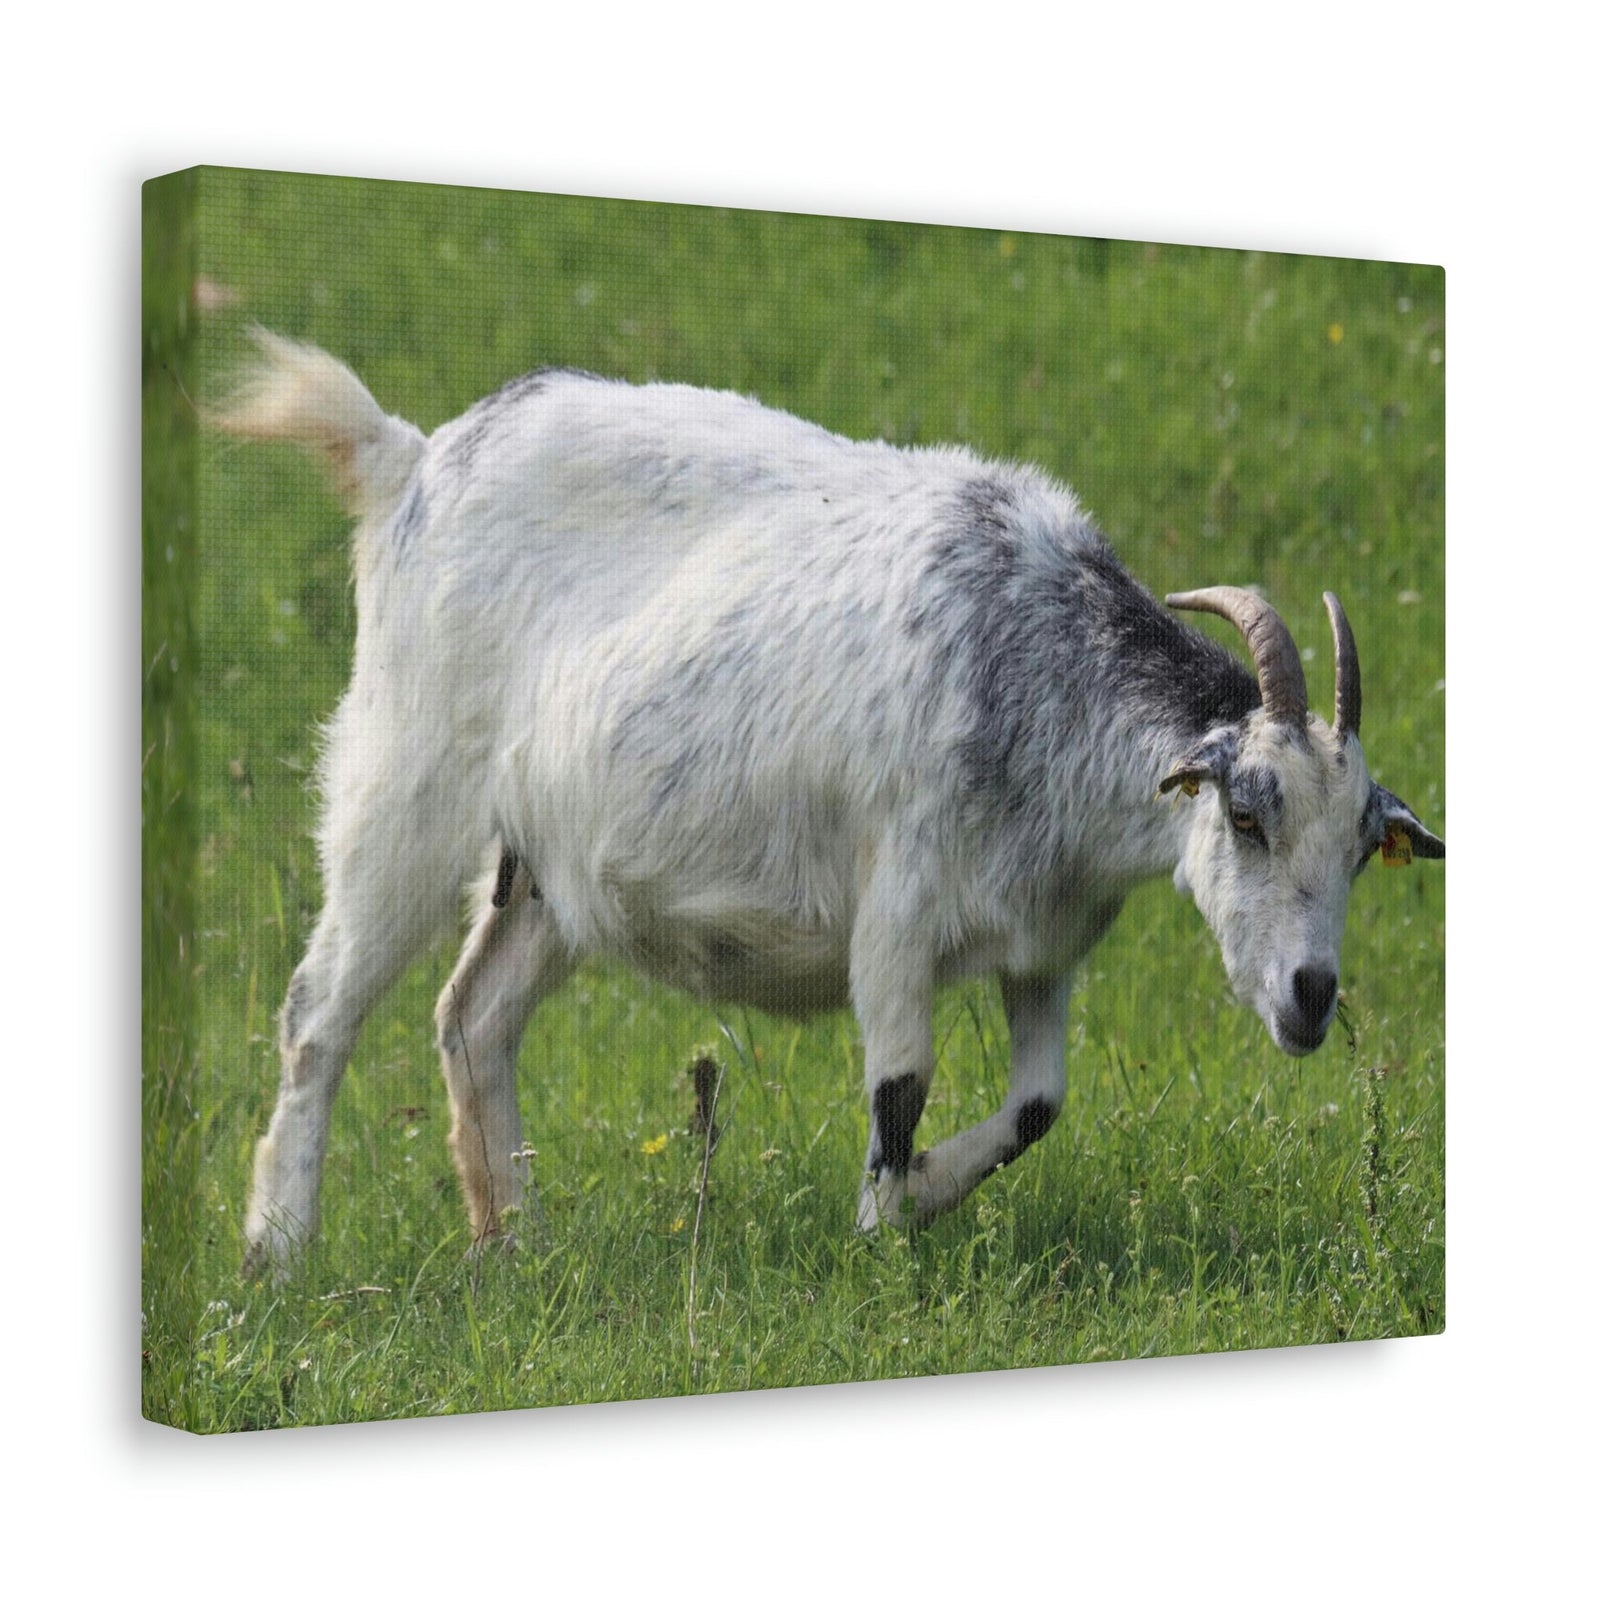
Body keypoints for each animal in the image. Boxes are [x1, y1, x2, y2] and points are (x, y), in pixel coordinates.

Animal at [216, 331, 1444, 1275]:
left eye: (1358, 851)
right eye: (1245, 815)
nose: (1310, 998)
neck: (1033, 661)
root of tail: (411, 457)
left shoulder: (1044, 944)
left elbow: (1039, 1102)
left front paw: (931, 1189)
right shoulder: (895, 914)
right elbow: (900, 1086)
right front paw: (880, 1238)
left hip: (548, 873)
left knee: (472, 1017)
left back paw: (514, 1243)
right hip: (407, 786)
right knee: (318, 1012)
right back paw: (278, 1252)